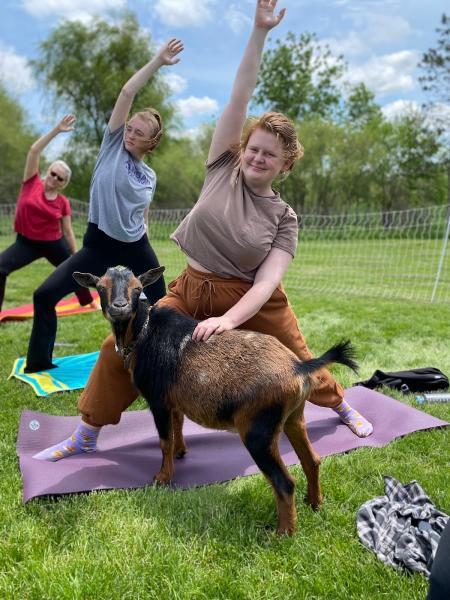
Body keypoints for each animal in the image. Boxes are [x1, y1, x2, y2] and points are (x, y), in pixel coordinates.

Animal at [73, 268, 358, 536]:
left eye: (137, 288)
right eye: (101, 287)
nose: (119, 307)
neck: (144, 333)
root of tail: (298, 367)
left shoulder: (157, 400)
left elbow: (164, 440)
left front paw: (161, 478)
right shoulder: (173, 401)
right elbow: (177, 427)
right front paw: (180, 453)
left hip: (258, 431)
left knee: (284, 482)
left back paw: (282, 534)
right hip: (294, 417)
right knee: (312, 460)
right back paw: (314, 504)